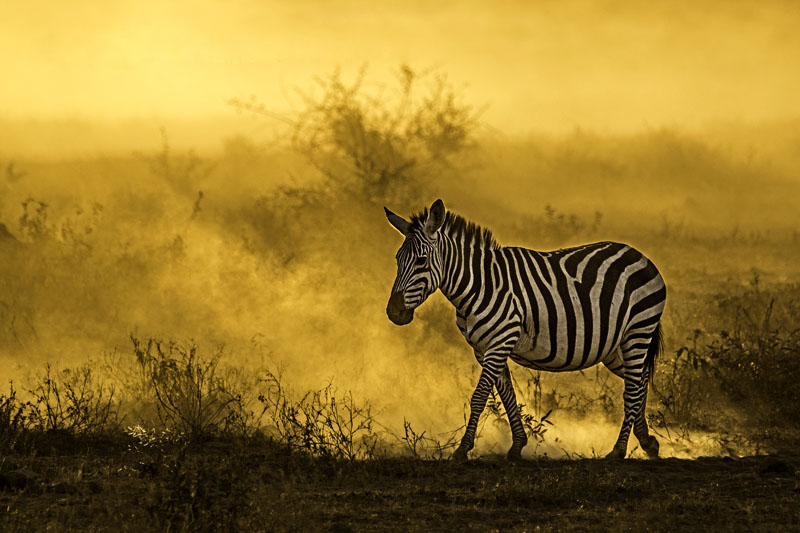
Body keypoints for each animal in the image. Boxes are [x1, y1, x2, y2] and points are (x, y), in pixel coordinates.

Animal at [384, 197, 664, 460]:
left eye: (421, 261)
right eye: (397, 259)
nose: (393, 313)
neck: (479, 285)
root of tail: (638, 254)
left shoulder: (501, 340)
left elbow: (479, 397)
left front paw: (462, 449)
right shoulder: (484, 349)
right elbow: (507, 396)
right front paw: (518, 445)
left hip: (638, 330)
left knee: (632, 390)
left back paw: (618, 450)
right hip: (615, 348)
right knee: (639, 382)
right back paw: (647, 442)